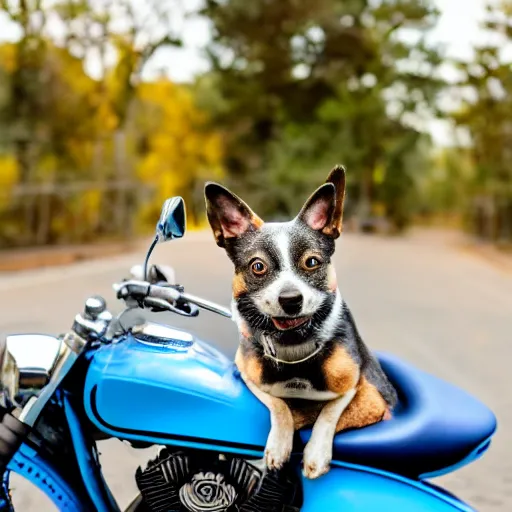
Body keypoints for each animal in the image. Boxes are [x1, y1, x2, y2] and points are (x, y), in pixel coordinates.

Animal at [203, 166, 396, 478]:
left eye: (312, 263)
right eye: (258, 266)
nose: (291, 299)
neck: (294, 345)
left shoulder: (357, 387)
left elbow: (328, 412)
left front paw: (316, 453)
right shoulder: (249, 376)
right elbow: (280, 405)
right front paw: (279, 445)